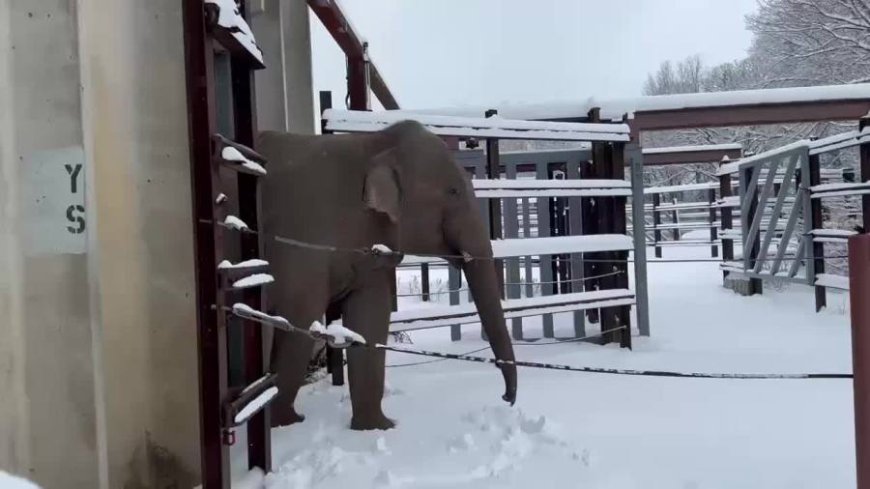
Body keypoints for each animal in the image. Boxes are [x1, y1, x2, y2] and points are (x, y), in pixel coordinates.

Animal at [258, 120, 516, 428]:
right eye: (453, 191)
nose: (506, 398)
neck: (375, 144)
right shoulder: (301, 237)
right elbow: (298, 316)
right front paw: (287, 423)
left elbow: (370, 317)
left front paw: (377, 428)